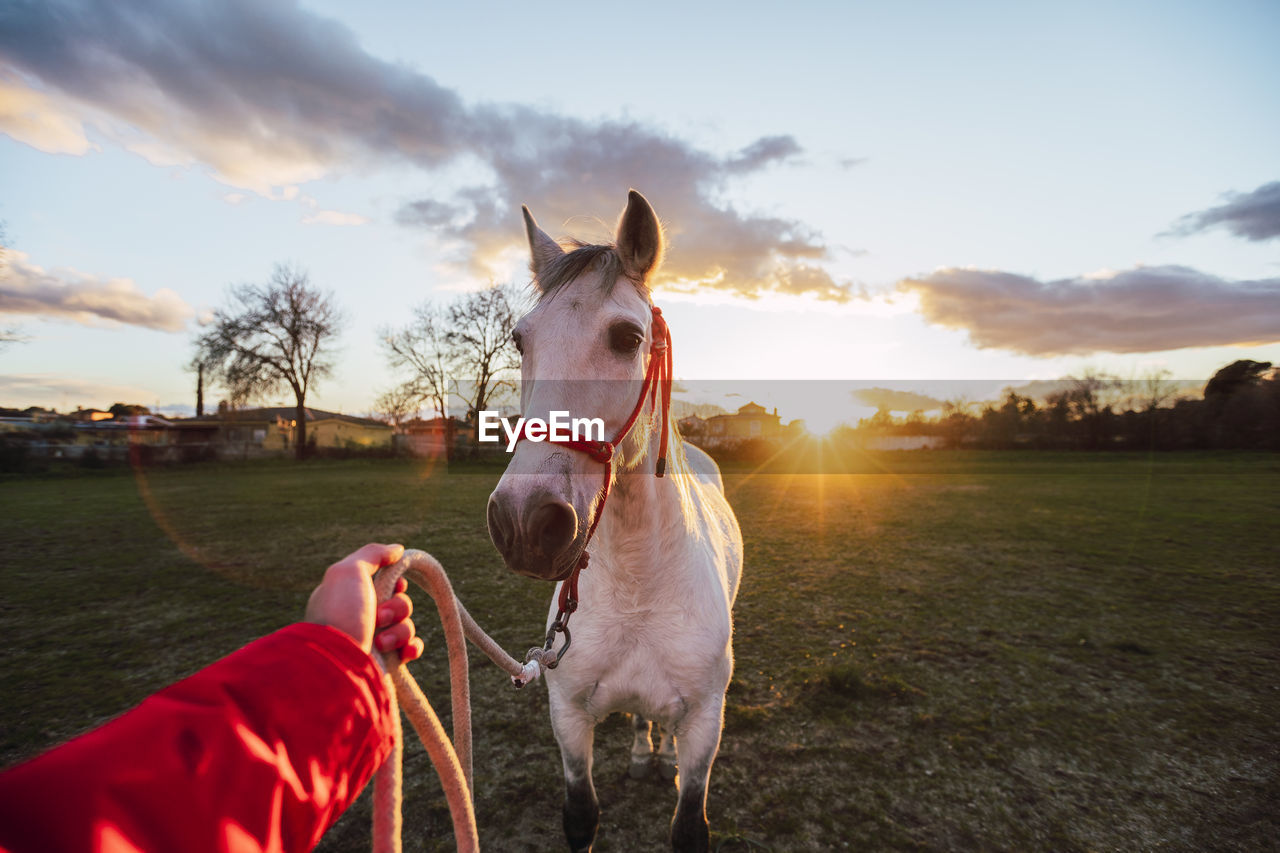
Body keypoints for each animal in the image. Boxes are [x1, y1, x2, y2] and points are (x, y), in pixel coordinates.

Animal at [486, 192, 747, 850]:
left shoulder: (705, 724)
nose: (526, 523)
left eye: (628, 337)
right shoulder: (568, 717)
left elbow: (689, 825)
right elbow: (582, 814)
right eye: (520, 341)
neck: (636, 586)